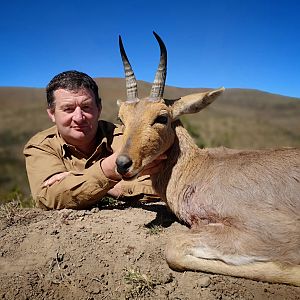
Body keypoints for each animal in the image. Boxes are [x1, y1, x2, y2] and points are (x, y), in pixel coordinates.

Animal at [115, 32, 300, 286]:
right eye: (121, 118)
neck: (201, 168)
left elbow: (173, 247)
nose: (122, 164)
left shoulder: (271, 231)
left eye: (162, 117)